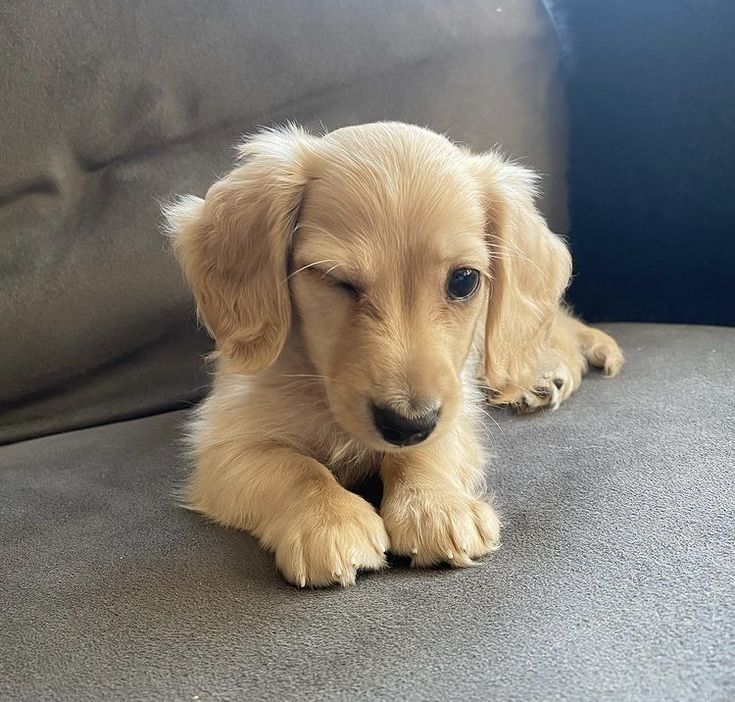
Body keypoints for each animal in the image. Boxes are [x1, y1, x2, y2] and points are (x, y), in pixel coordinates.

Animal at [164, 122, 624, 588]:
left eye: (464, 280)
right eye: (337, 280)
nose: (407, 425)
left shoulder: (456, 407)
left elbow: (431, 447)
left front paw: (435, 505)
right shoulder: (224, 443)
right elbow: (294, 467)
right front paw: (329, 520)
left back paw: (545, 374)